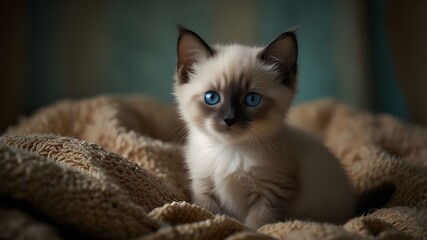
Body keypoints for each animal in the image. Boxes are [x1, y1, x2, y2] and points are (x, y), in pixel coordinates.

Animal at [172, 26, 356, 231]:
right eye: (212, 97)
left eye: (252, 99)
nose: (229, 119)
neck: (229, 151)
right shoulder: (204, 189)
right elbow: (211, 216)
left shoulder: (271, 192)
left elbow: (257, 226)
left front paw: (248, 231)